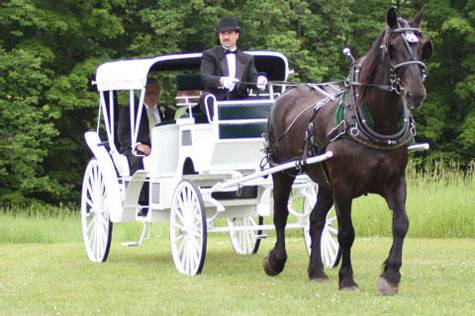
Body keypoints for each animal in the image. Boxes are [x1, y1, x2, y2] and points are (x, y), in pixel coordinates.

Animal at [266, 8, 434, 296]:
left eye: (423, 46)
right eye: (391, 47)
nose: (416, 92)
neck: (375, 124)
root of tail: (287, 94)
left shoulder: (395, 182)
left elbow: (401, 224)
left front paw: (390, 275)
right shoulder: (343, 186)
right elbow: (347, 232)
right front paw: (347, 279)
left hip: (324, 183)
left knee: (315, 221)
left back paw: (317, 271)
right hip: (284, 171)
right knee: (280, 215)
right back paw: (276, 261)